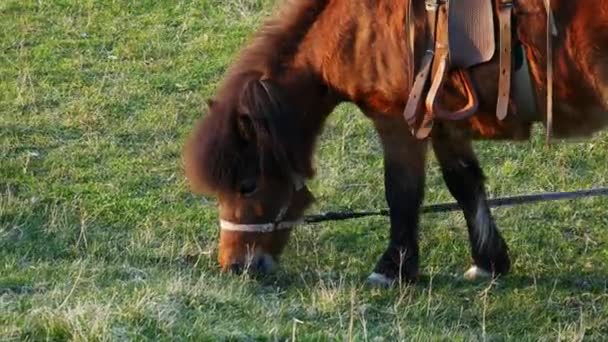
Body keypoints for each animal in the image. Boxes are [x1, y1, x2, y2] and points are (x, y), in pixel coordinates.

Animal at [184, 0, 608, 286]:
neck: (356, 29)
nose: (237, 266)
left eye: (247, 185)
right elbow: (465, 184)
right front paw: (488, 261)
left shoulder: (397, 123)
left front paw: (392, 269)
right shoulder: (444, 125)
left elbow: (402, 193)